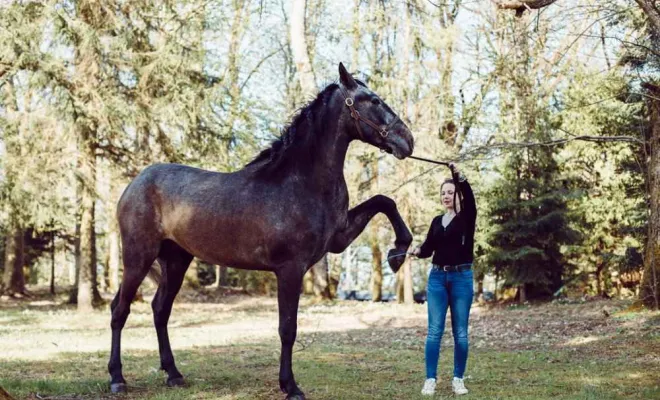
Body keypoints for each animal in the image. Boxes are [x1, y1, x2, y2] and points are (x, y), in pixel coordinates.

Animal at [108, 63, 414, 399]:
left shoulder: (338, 239)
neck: (301, 182)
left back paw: (174, 374)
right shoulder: (290, 269)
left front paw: (398, 252)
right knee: (120, 310)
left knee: (160, 310)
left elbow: (384, 201)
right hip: (138, 257)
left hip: (175, 261)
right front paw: (290, 386)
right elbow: (288, 328)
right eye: (373, 100)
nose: (407, 140)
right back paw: (117, 378)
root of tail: (134, 184)